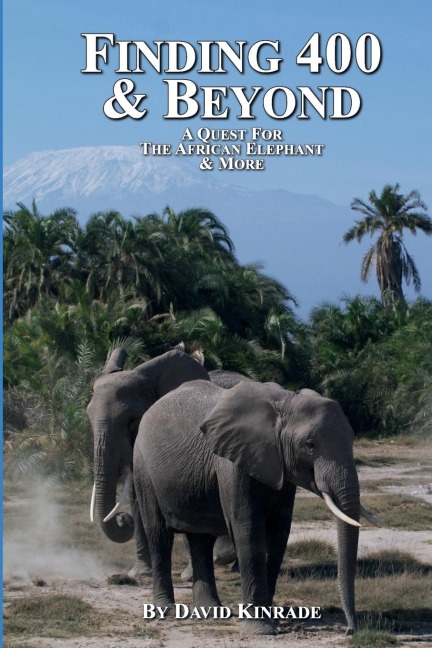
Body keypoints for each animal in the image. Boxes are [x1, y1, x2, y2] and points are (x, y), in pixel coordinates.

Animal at [133, 379, 381, 635]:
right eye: (310, 445)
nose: (350, 630)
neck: (284, 402)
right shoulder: (232, 463)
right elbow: (249, 531)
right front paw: (261, 629)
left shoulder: (280, 468)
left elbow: (278, 533)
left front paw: (273, 619)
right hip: (143, 468)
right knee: (159, 535)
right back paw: (165, 612)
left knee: (201, 539)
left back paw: (210, 613)